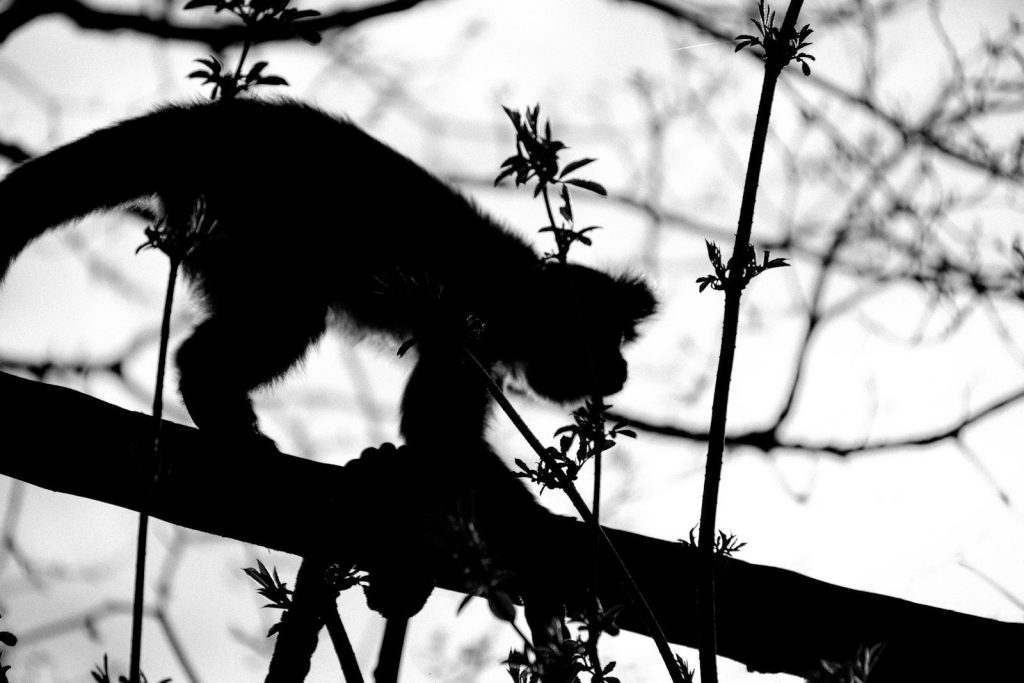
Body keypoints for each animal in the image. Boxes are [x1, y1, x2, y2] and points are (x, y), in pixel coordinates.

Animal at [0, 97, 656, 640]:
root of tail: (208, 123)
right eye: (604, 343)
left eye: (621, 344)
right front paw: (543, 532)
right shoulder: (470, 326)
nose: (621, 370)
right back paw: (219, 409)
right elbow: (441, 434)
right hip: (253, 207)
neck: (518, 293)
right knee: (287, 317)